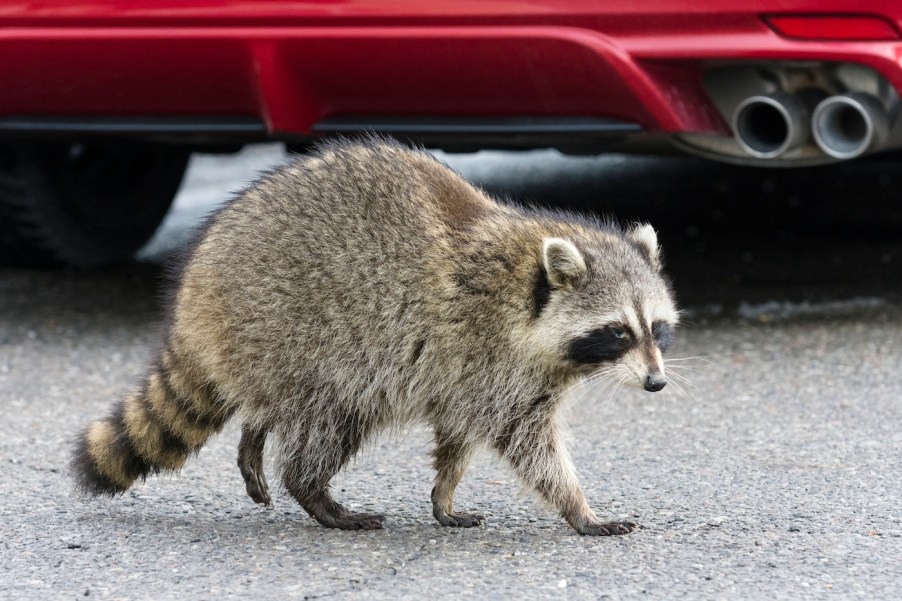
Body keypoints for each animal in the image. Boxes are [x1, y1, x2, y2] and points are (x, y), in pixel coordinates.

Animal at [72, 137, 680, 536]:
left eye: (656, 329)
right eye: (617, 331)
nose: (656, 384)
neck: (528, 286)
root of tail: (195, 291)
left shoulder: (470, 373)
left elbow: (457, 435)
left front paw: (444, 493)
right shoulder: (489, 358)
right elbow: (528, 444)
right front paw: (579, 508)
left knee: (275, 405)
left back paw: (256, 436)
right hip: (301, 336)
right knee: (327, 422)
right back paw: (315, 495)